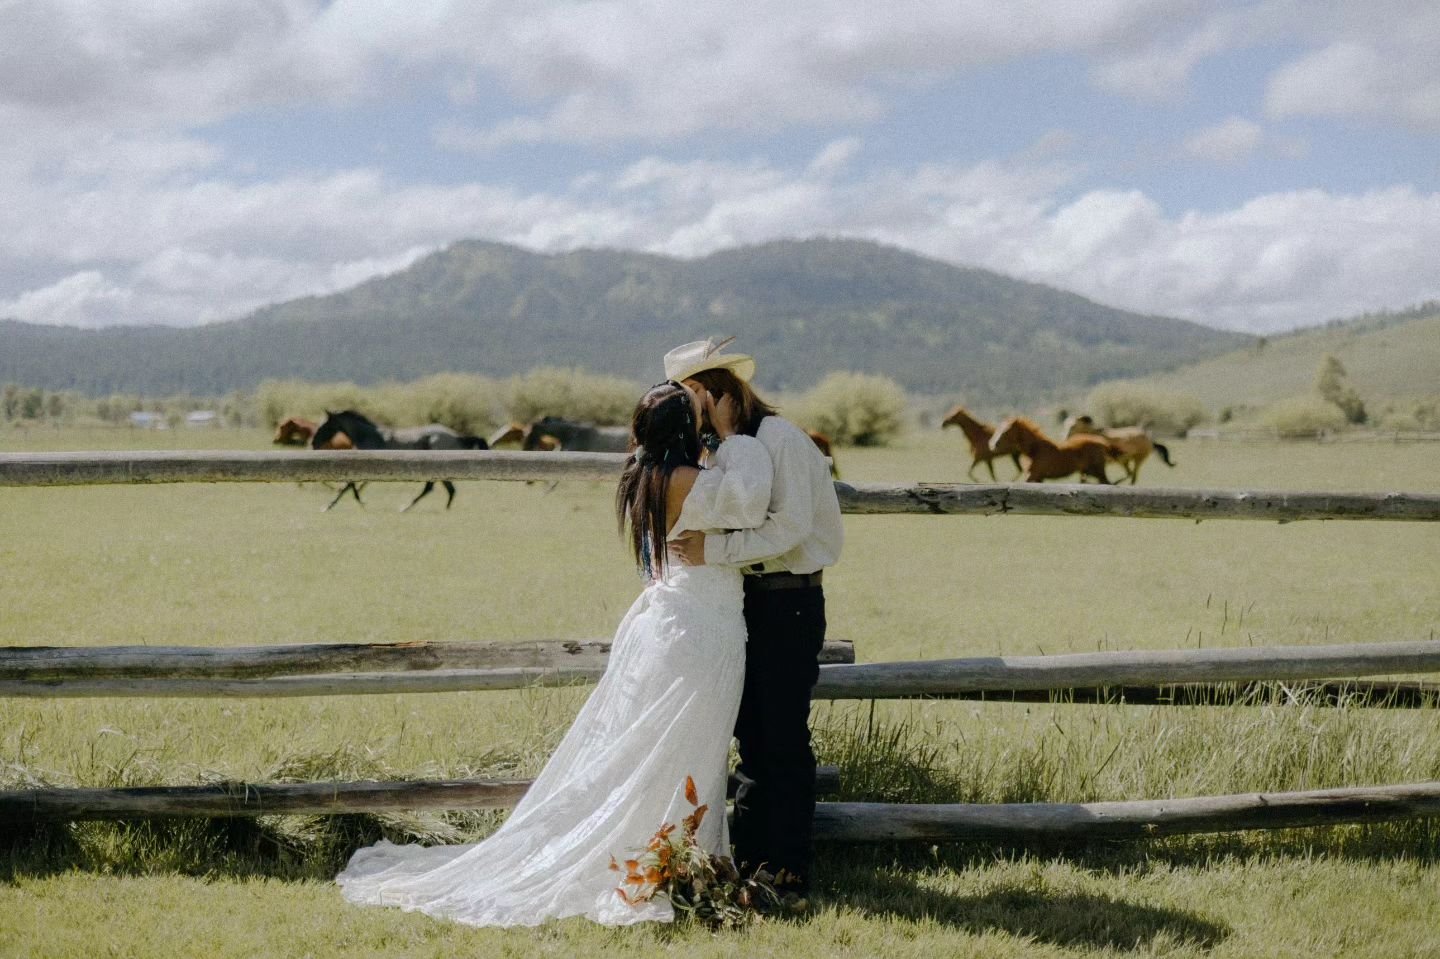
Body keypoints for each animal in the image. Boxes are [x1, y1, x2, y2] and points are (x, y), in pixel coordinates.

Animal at [309, 408, 489, 512]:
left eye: (323, 426)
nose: (313, 443)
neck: (370, 437)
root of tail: (457, 436)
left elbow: (349, 485)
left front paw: (331, 505)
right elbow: (351, 485)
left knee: (435, 488)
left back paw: (407, 507)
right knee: (447, 489)